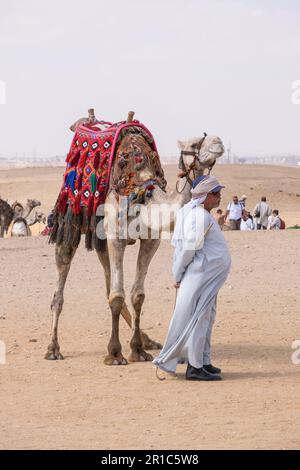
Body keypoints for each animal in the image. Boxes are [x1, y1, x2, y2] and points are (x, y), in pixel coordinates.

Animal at [45, 110, 225, 364]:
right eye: (193, 144)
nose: (218, 141)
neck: (142, 191)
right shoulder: (115, 237)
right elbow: (117, 296)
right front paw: (114, 353)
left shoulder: (150, 240)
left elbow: (137, 295)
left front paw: (138, 349)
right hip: (69, 222)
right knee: (60, 287)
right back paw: (53, 348)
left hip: (101, 238)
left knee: (107, 282)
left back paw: (148, 340)